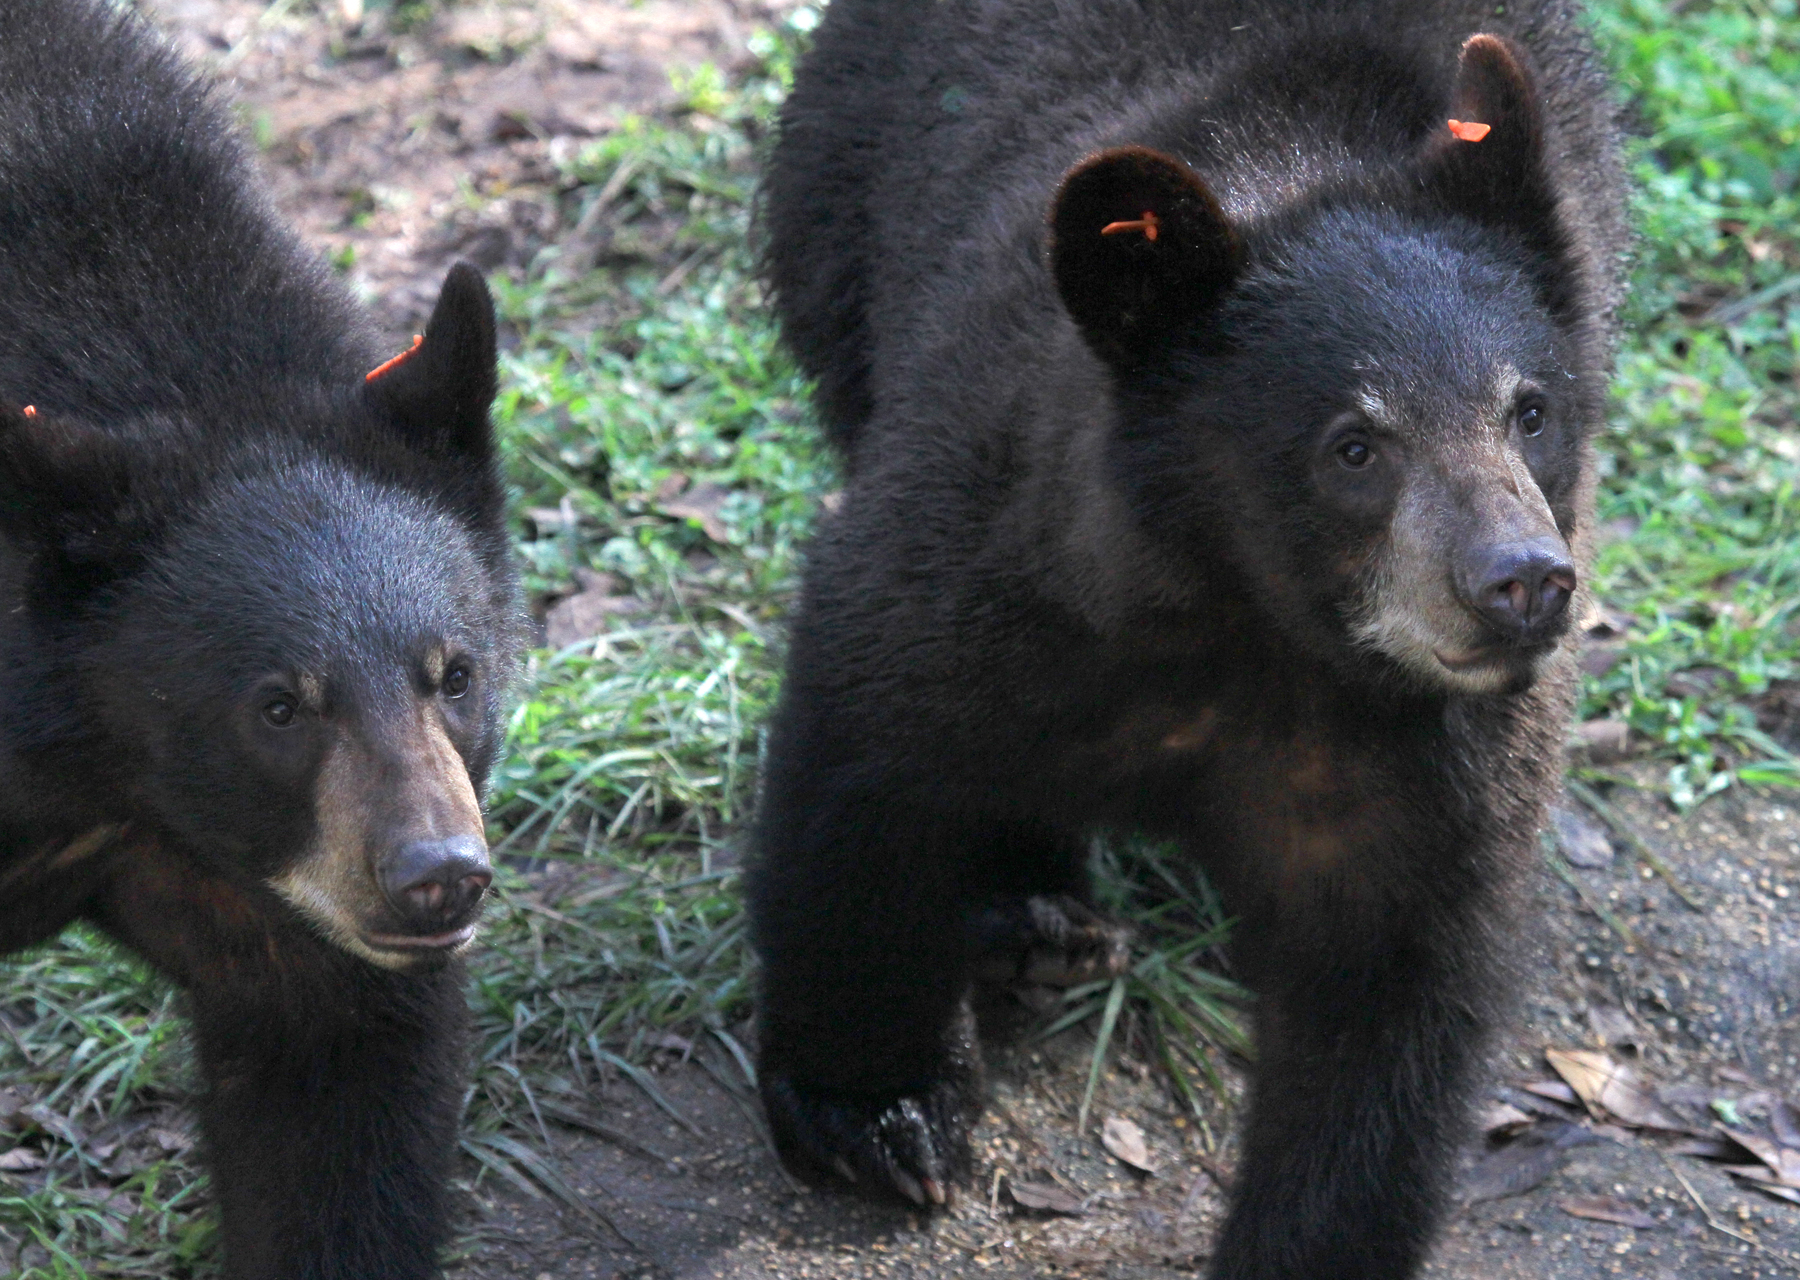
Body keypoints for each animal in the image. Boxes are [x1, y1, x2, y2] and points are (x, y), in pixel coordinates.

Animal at [752, 5, 1627, 1274]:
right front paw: (877, 1111)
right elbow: (868, 743)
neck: (1252, 629)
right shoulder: (1003, 555)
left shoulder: (1443, 759)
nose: (1521, 584)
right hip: (837, 217)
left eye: (1530, 410)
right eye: (1354, 444)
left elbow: (1391, 1001)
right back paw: (1028, 911)